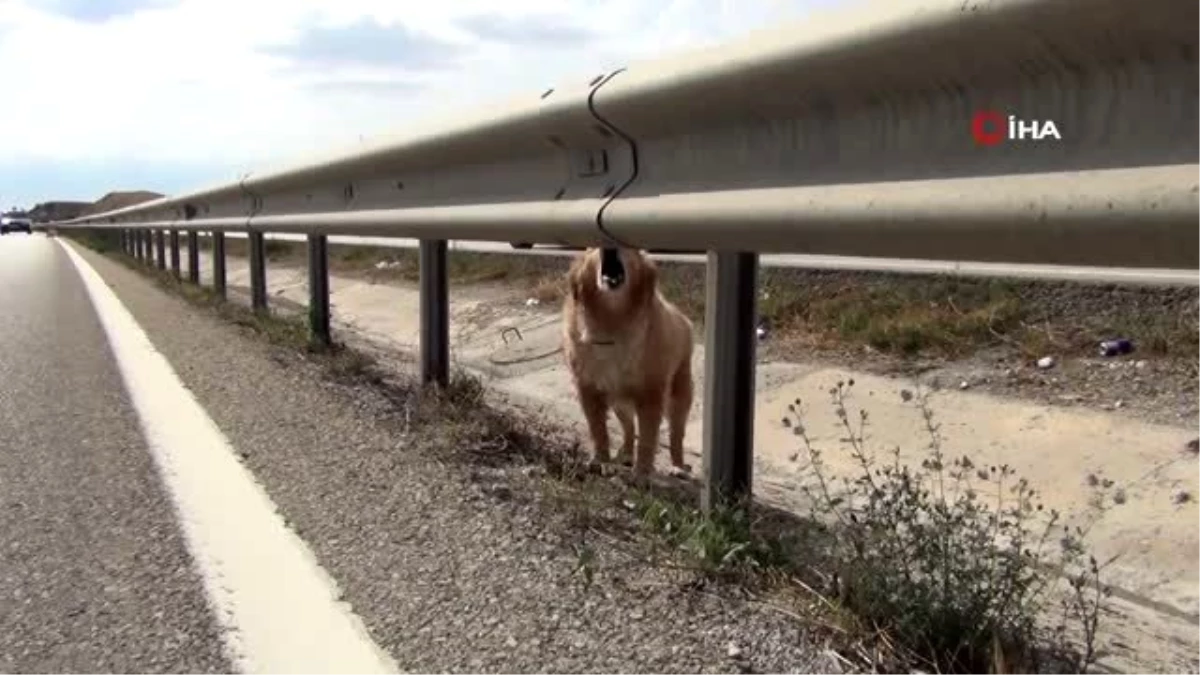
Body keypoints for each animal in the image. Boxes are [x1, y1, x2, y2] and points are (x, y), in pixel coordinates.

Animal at [561, 243, 696, 475]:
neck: (613, 321)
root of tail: (684, 319)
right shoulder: (588, 389)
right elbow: (598, 430)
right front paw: (600, 460)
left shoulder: (651, 394)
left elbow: (648, 438)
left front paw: (642, 472)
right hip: (619, 401)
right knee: (629, 427)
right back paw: (625, 454)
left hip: (679, 397)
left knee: (676, 435)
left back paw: (678, 466)